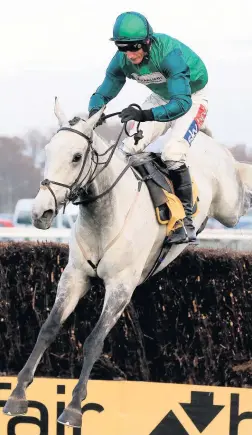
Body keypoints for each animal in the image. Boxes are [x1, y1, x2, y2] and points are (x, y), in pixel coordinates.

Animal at [3, 99, 252, 430]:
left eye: (76, 156)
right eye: (47, 151)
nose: (40, 212)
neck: (106, 216)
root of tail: (208, 142)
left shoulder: (121, 287)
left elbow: (94, 340)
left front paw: (74, 408)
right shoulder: (74, 276)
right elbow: (48, 328)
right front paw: (17, 395)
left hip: (229, 208)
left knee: (238, 184)